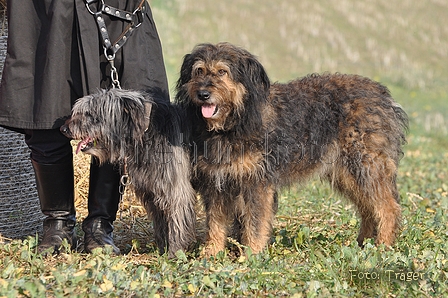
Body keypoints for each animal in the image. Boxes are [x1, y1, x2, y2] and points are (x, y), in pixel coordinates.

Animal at [60, 87, 195, 258]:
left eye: (90, 113)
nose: (63, 129)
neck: (146, 132)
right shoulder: (154, 193)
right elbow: (161, 223)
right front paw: (163, 248)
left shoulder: (176, 192)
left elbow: (177, 224)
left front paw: (175, 252)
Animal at [175, 42, 410, 258]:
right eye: (199, 71)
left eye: (222, 71)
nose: (203, 93)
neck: (234, 123)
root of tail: (385, 96)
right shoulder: (217, 182)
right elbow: (216, 222)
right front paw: (211, 253)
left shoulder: (257, 182)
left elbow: (255, 223)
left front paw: (252, 254)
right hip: (346, 172)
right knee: (368, 208)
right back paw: (363, 243)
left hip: (366, 165)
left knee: (388, 208)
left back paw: (382, 247)